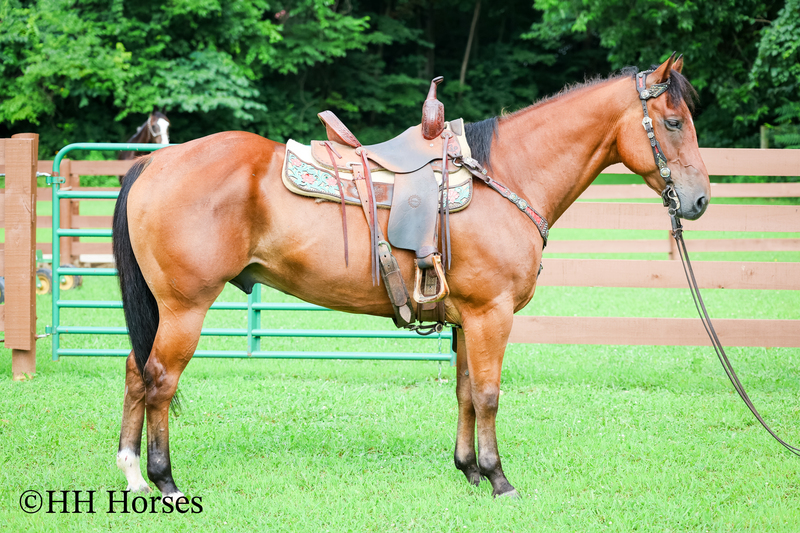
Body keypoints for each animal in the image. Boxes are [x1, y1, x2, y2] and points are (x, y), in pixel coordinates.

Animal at [112, 55, 709, 500]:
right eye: (674, 123)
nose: (700, 200)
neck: (506, 176)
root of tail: (155, 162)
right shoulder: (492, 314)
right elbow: (489, 394)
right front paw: (499, 478)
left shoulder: (468, 318)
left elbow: (465, 392)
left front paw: (469, 469)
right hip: (186, 307)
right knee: (160, 379)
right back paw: (164, 480)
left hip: (165, 310)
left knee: (136, 372)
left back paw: (133, 473)